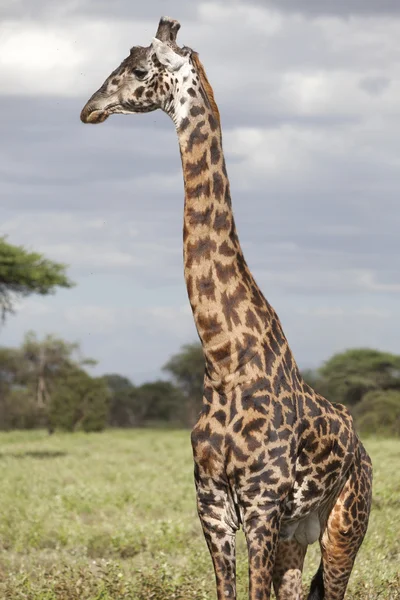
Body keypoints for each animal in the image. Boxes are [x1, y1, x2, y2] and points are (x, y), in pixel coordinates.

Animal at [80, 17, 372, 600]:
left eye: (139, 69)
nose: (89, 108)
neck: (224, 360)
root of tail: (363, 449)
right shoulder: (212, 505)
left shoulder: (260, 507)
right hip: (295, 532)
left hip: (345, 524)